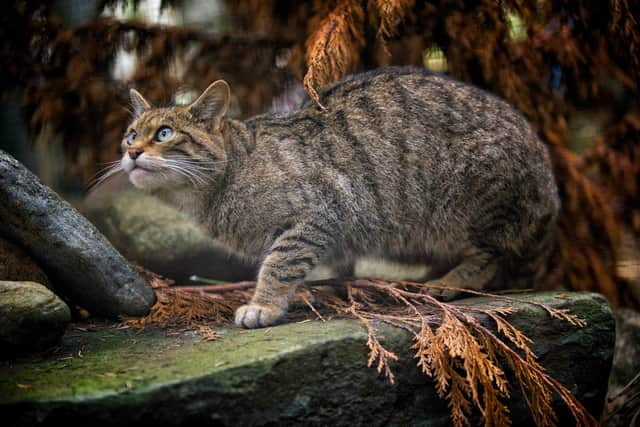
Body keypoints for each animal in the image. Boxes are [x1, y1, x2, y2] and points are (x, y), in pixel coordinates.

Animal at [121, 67, 560, 330]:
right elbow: (334, 263)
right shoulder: (334, 230)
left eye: (164, 133)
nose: (132, 152)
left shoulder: (319, 212)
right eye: (131, 134)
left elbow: (279, 265)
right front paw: (333, 288)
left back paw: (450, 281)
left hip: (476, 204)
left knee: (491, 257)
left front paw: (264, 304)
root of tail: (549, 179)